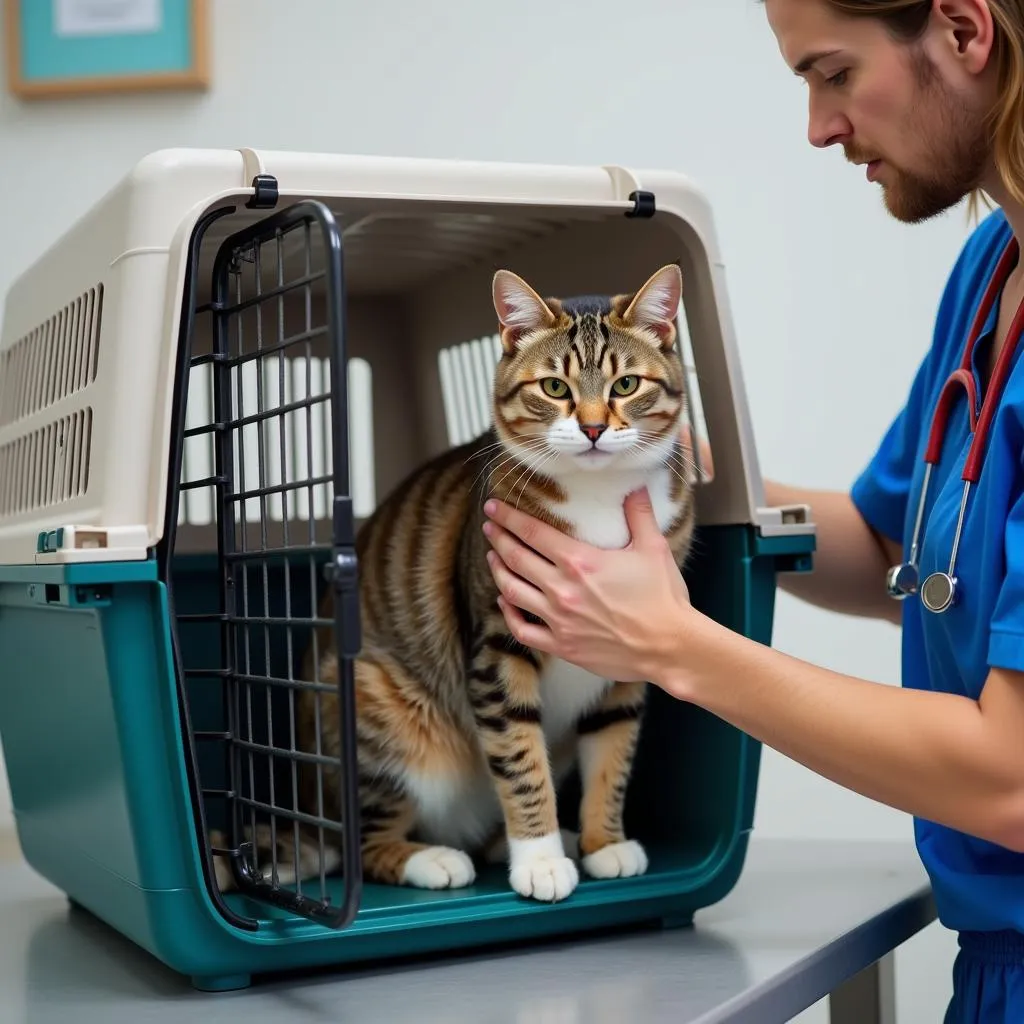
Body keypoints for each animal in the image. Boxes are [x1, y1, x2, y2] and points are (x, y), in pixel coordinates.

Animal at [211, 262, 700, 905]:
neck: (598, 498)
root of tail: (314, 811)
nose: (594, 429)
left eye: (625, 386)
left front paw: (604, 843)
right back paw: (435, 859)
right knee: (365, 847)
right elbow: (520, 760)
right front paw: (540, 860)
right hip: (379, 706)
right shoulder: (498, 645)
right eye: (554, 388)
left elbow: (612, 751)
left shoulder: (631, 647)